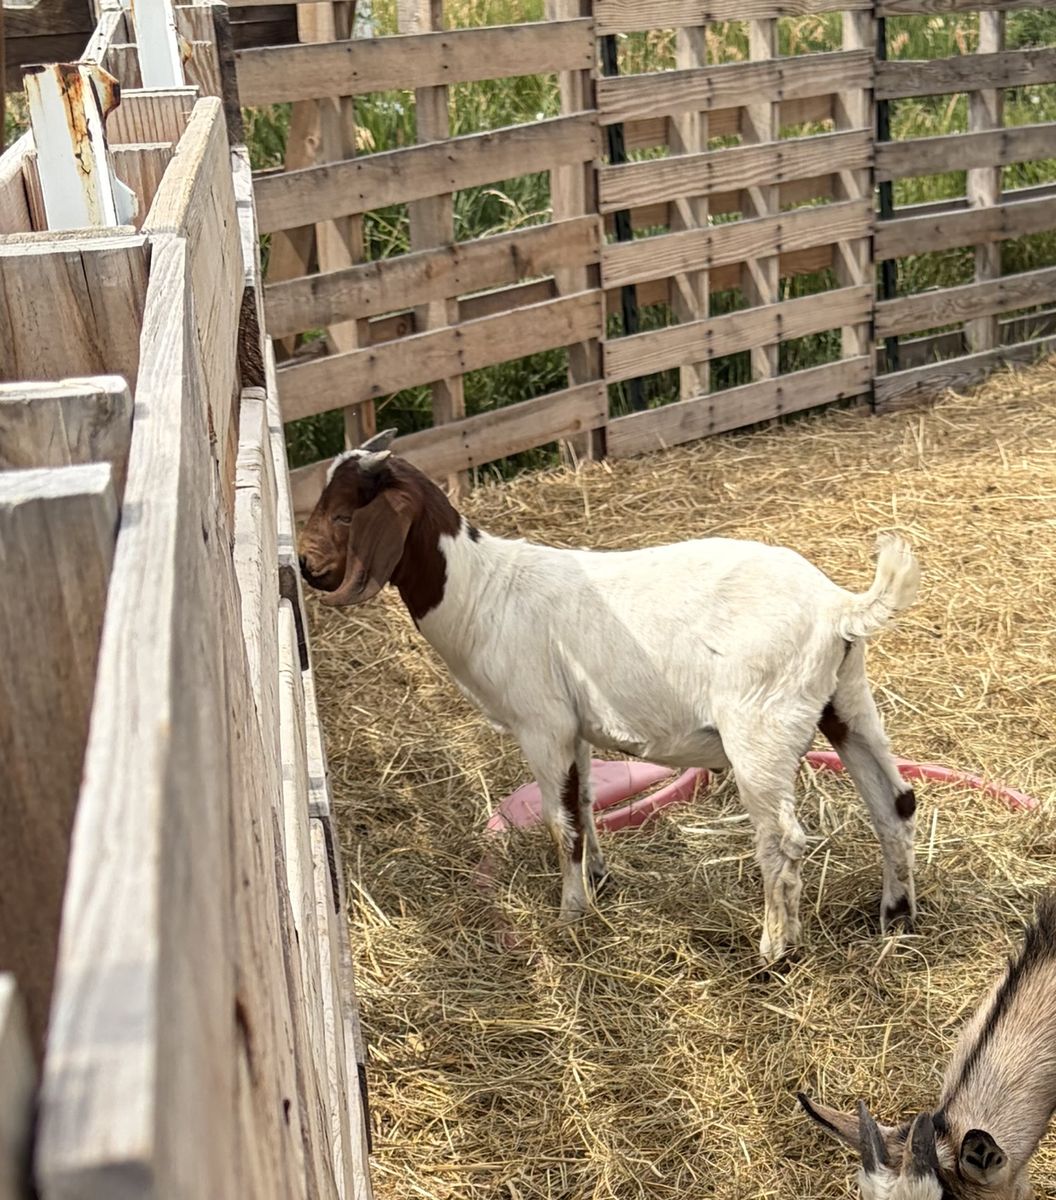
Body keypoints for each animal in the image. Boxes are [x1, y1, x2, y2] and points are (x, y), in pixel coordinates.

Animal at [299, 431, 921, 963]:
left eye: (345, 513)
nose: (305, 566)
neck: (479, 592)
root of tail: (839, 607)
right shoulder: (574, 727)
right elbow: (585, 804)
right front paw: (596, 879)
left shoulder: (543, 725)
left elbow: (561, 821)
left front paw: (571, 914)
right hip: (846, 700)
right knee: (895, 802)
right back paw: (895, 917)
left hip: (760, 729)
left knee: (782, 840)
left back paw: (775, 950)